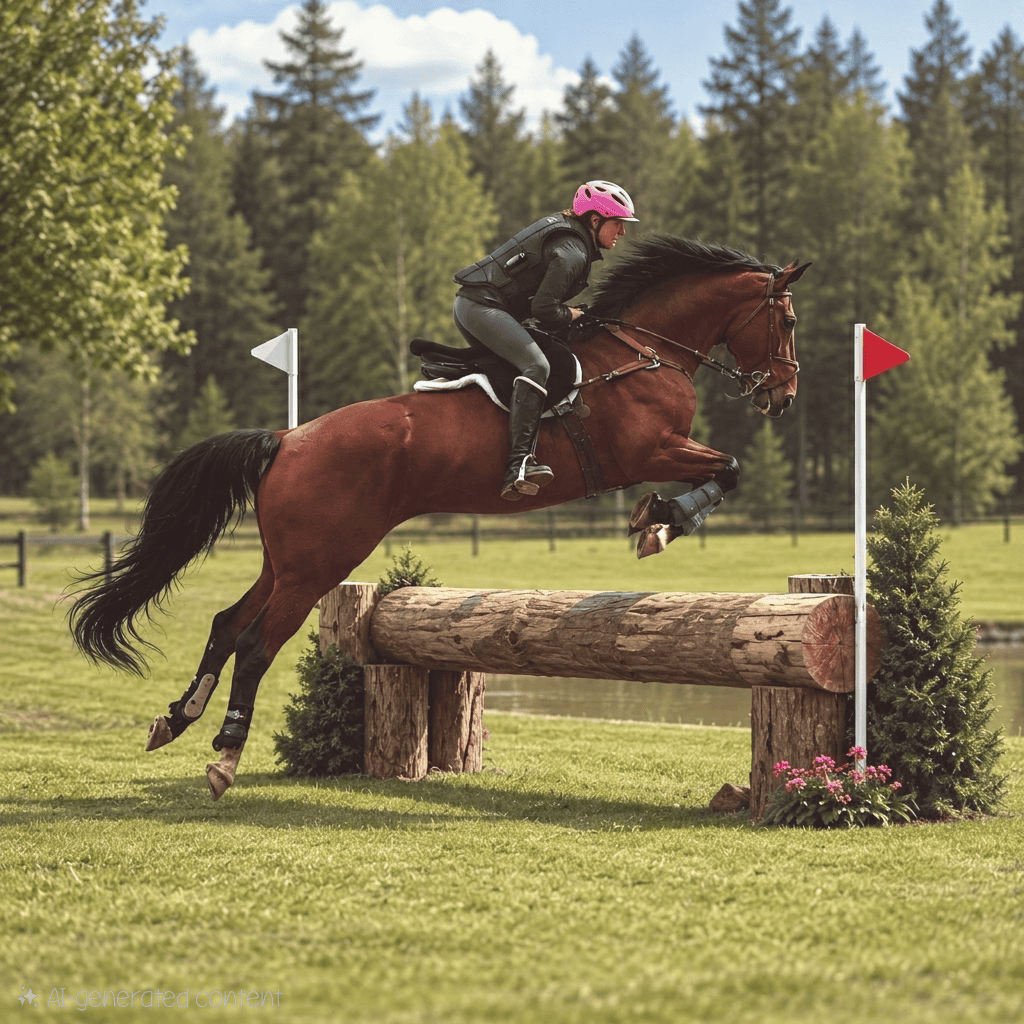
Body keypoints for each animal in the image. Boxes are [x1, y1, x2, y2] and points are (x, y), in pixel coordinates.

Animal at [68, 236, 809, 799]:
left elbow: (724, 470)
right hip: (320, 563)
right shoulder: (648, 449)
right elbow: (729, 468)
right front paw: (660, 521)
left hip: (287, 560)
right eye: (789, 322)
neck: (642, 351)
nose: (784, 394)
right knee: (255, 646)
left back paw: (176, 719)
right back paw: (223, 757)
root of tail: (287, 439)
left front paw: (655, 519)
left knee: (226, 624)